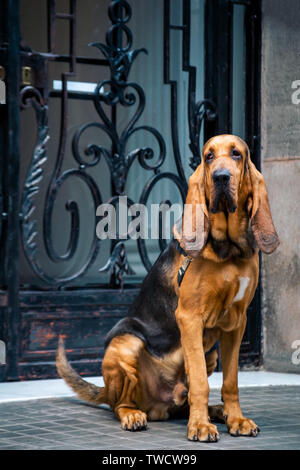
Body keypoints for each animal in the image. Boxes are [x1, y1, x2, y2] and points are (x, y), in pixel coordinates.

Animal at [57, 135, 280, 440]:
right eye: (209, 157)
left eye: (236, 154)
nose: (221, 177)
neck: (228, 251)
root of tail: (159, 405)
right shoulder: (190, 318)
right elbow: (199, 382)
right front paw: (200, 427)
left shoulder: (237, 323)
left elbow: (230, 382)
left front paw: (236, 419)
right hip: (125, 344)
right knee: (121, 404)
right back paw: (135, 415)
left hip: (211, 353)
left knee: (185, 401)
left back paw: (217, 411)